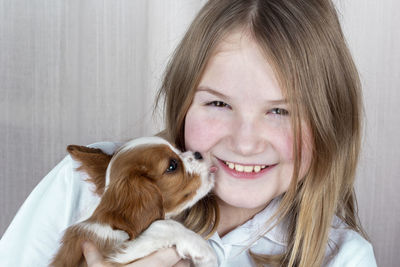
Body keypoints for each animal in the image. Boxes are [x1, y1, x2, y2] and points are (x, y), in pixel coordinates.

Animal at [52, 137, 219, 266]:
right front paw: (203, 249)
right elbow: (163, 224)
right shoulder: (115, 257)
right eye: (172, 166)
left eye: (178, 148)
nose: (198, 153)